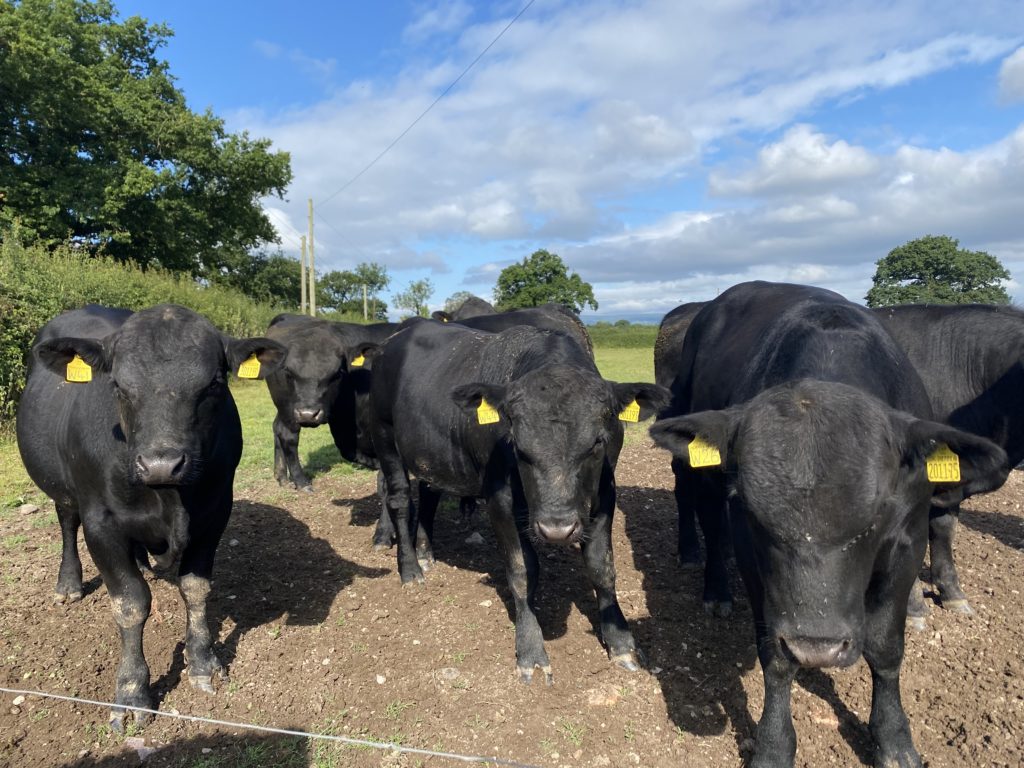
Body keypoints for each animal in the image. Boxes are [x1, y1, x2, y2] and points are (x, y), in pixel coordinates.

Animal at [16, 304, 285, 729]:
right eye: (117, 385)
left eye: (213, 384)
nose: (161, 463)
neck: (168, 498)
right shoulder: (101, 524)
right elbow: (130, 603)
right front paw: (131, 692)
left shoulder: (214, 514)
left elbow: (195, 588)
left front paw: (203, 663)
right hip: (63, 488)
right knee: (66, 520)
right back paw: (69, 583)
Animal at [263, 314, 399, 490]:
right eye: (289, 372)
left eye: (337, 374)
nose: (308, 414)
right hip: (289, 408)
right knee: (288, 436)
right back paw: (301, 480)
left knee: (277, 427)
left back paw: (281, 476)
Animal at [367, 321, 668, 683]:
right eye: (518, 445)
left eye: (597, 442)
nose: (556, 529)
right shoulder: (500, 500)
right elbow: (522, 571)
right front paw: (531, 650)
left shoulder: (605, 494)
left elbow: (601, 567)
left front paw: (621, 642)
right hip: (383, 434)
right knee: (399, 498)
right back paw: (410, 569)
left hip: (431, 453)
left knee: (428, 492)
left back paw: (426, 553)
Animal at [650, 282, 1007, 768]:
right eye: (750, 508)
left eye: (878, 511)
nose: (816, 648)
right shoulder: (753, 556)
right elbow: (774, 657)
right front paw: (774, 745)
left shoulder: (909, 541)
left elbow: (885, 647)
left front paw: (894, 739)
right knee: (705, 513)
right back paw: (716, 590)